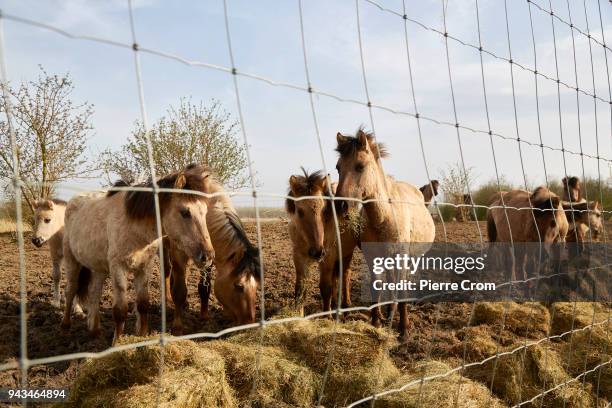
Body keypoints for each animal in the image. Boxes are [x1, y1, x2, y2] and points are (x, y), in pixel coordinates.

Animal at [62, 163, 215, 342]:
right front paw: (118, 343)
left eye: (205, 212)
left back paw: (95, 331)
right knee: (71, 290)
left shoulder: (144, 267)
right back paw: (65, 327)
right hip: (72, 261)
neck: (134, 226)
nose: (208, 256)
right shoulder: (118, 268)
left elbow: (143, 304)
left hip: (98, 267)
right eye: (185, 212)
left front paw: (142, 336)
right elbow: (120, 311)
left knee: (94, 293)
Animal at [163, 175, 260, 332]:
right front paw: (178, 325)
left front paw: (204, 317)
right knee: (167, 271)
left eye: (257, 286)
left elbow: (205, 288)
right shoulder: (178, 254)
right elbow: (179, 290)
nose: (249, 325)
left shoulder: (207, 258)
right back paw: (168, 300)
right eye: (239, 286)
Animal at [286, 167, 358, 314]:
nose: (317, 252)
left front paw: (327, 315)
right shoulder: (299, 256)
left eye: (324, 209)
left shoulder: (328, 256)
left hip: (346, 253)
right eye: (299, 211)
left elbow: (325, 288)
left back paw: (346, 305)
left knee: (345, 274)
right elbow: (300, 289)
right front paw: (298, 314)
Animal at [334, 128, 436, 338]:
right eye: (338, 168)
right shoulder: (373, 257)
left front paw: (404, 329)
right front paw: (376, 322)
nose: (341, 206)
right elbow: (378, 286)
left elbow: (401, 288)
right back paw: (387, 311)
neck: (385, 216)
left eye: (360, 166)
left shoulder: (402, 256)